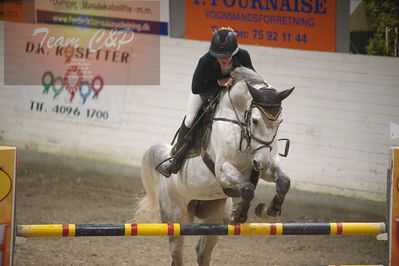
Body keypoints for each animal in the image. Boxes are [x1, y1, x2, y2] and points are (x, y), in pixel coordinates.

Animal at [136, 67, 296, 266]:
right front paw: (238, 215)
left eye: (279, 122)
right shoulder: (223, 170)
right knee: (177, 254)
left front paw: (268, 210)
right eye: (255, 121)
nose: (262, 162)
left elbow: (283, 182)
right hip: (177, 219)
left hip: (212, 217)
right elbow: (247, 188)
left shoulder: (266, 167)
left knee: (203, 253)